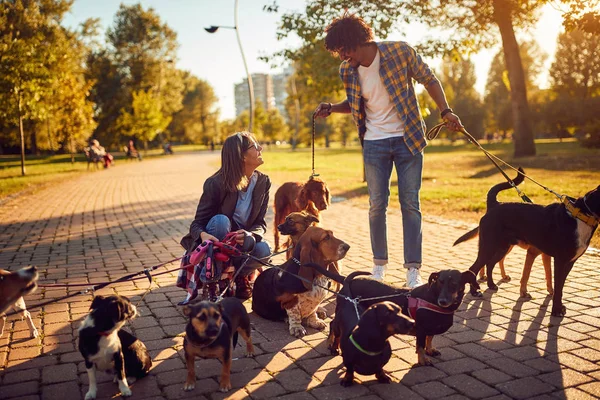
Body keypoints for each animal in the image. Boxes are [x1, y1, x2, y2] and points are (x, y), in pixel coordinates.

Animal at [458, 168, 596, 316]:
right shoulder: (558, 260)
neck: (581, 216)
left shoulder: (568, 262)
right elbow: (554, 285)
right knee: (473, 268)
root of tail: (495, 204)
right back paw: (474, 292)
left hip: (502, 248)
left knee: (490, 264)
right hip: (489, 247)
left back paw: (491, 284)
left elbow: (557, 285)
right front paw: (556, 310)